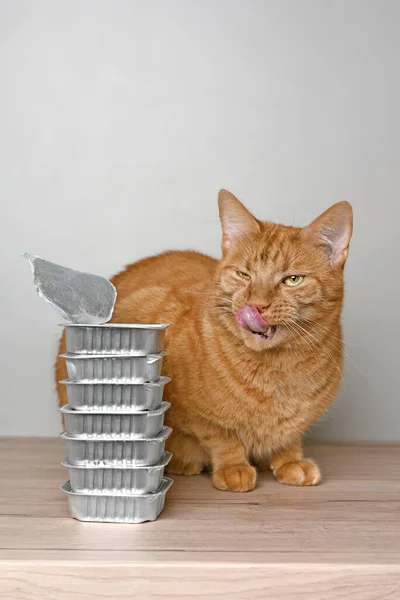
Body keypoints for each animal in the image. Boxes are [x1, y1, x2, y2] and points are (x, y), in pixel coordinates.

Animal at [54, 190, 352, 490]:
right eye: (243, 275)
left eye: (292, 280)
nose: (256, 305)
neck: (277, 372)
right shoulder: (191, 411)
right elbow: (221, 436)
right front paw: (233, 467)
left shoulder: (297, 421)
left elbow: (289, 436)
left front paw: (290, 460)